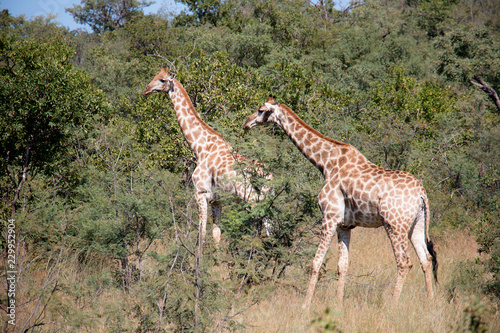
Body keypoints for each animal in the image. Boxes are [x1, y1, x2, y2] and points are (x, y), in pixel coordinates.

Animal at [143, 67, 272, 249]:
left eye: (162, 80)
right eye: (155, 76)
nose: (146, 90)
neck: (201, 147)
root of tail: (266, 175)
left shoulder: (200, 193)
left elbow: (202, 233)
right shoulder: (216, 200)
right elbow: (216, 234)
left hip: (250, 196)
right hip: (266, 195)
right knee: (270, 224)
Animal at [243, 96, 438, 308]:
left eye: (261, 110)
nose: (246, 124)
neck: (325, 163)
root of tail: (422, 193)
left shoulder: (329, 217)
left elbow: (316, 262)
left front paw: (305, 305)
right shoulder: (344, 225)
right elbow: (342, 265)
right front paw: (338, 304)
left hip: (394, 224)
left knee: (404, 262)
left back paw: (393, 304)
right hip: (416, 224)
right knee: (426, 259)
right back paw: (430, 301)